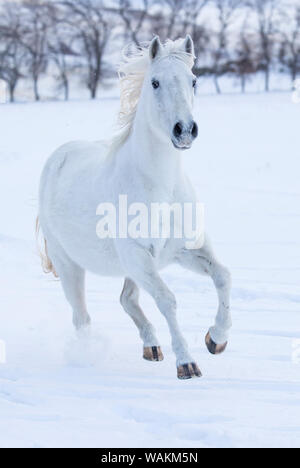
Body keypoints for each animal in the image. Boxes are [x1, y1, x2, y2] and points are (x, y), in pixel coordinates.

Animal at [36, 36, 231, 380]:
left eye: (193, 80)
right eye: (154, 82)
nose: (185, 130)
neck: (161, 190)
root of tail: (59, 155)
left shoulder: (184, 250)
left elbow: (223, 276)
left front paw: (215, 339)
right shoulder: (139, 256)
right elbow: (167, 300)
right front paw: (187, 363)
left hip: (133, 268)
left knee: (126, 299)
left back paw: (151, 347)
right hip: (70, 264)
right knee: (82, 318)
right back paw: (87, 358)